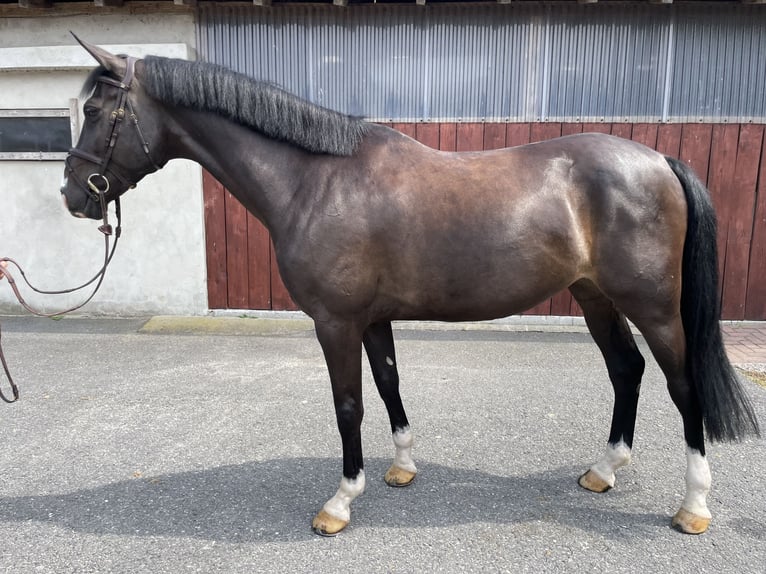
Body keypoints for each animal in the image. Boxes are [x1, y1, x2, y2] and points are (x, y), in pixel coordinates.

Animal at [60, 38, 759, 537]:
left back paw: (694, 506)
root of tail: (659, 160)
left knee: (682, 385)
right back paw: (604, 471)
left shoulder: (335, 322)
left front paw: (341, 501)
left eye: (94, 111)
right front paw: (401, 468)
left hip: (654, 307)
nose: (72, 195)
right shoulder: (372, 318)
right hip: (595, 297)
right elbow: (389, 383)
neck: (315, 180)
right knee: (626, 370)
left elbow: (348, 404)